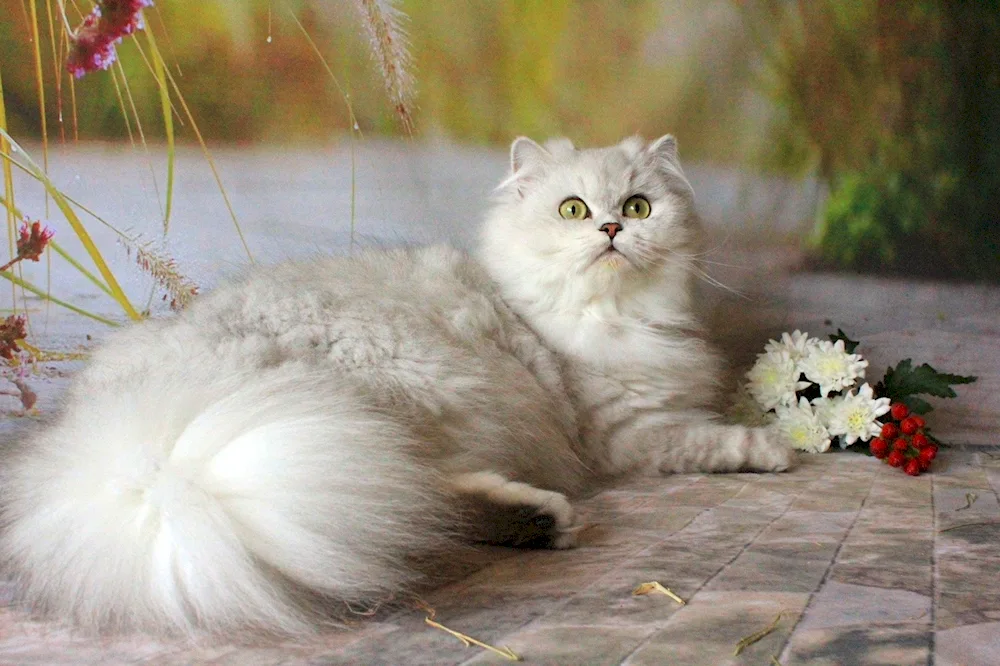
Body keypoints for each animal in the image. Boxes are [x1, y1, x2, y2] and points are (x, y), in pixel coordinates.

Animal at [1, 134, 796, 632]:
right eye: (573, 210)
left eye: (638, 207)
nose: (609, 231)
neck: (607, 312)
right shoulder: (628, 430)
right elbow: (712, 437)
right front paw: (778, 445)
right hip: (404, 398)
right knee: (419, 499)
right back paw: (542, 519)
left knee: (429, 505)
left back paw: (535, 522)